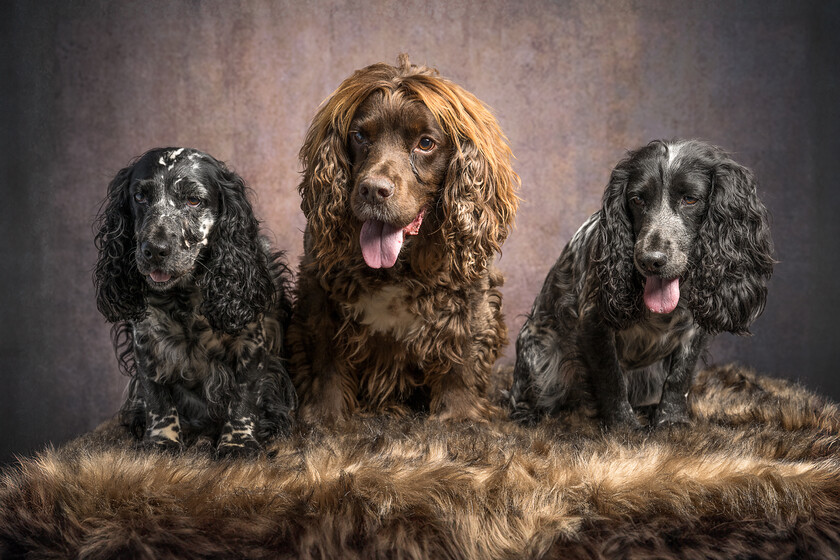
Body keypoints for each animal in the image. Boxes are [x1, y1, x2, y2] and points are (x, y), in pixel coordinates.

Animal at [93, 148, 296, 456]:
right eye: (139, 197)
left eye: (193, 200)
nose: (154, 250)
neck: (184, 296)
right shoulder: (146, 340)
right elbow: (156, 396)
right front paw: (162, 441)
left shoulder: (251, 339)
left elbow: (244, 394)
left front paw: (237, 443)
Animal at [288, 55, 520, 424]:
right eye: (359, 136)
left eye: (425, 143)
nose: (373, 189)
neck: (398, 266)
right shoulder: (319, 288)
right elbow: (326, 358)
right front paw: (326, 417)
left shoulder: (470, 294)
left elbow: (462, 355)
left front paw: (461, 417)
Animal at [506, 140, 776, 428]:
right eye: (637, 199)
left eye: (690, 199)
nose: (651, 260)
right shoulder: (593, 322)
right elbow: (611, 379)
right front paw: (623, 427)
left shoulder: (694, 330)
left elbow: (679, 379)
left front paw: (671, 422)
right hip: (540, 358)